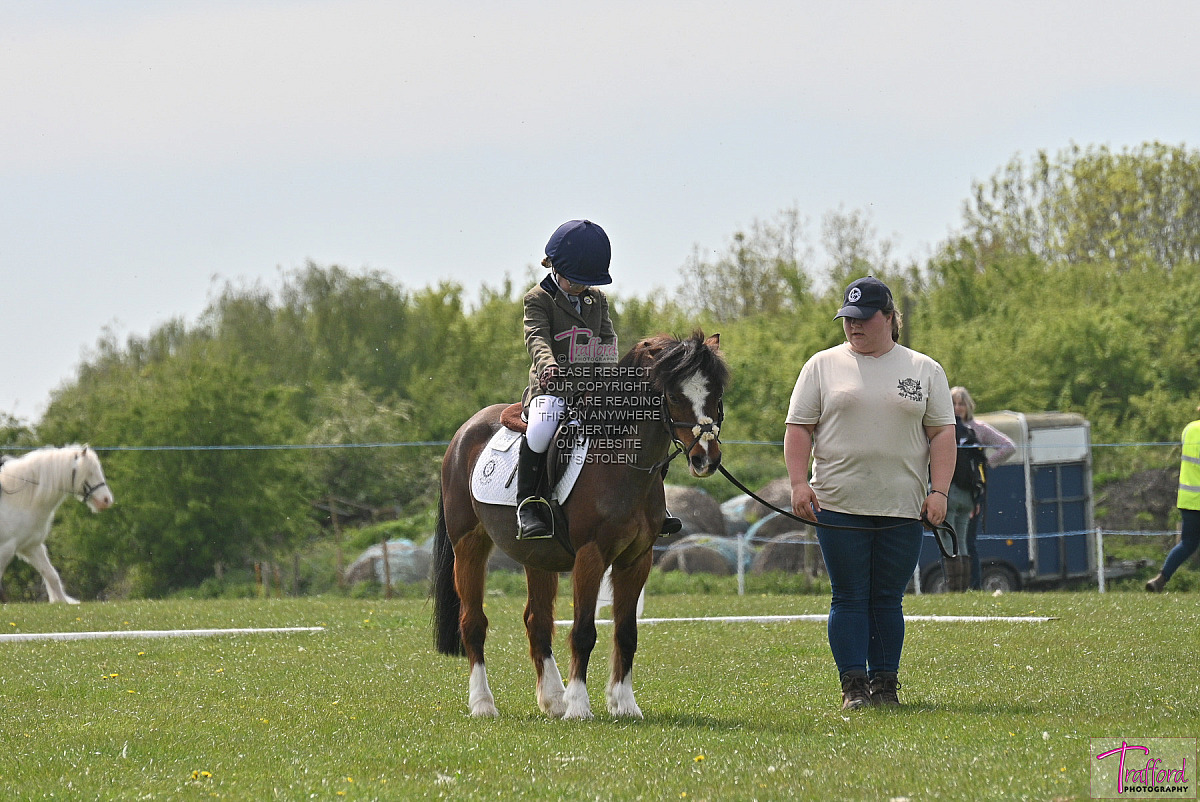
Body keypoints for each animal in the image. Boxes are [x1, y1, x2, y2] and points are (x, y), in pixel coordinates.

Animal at [0, 445, 114, 604]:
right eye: (90, 472)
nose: (106, 500)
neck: (16, 501)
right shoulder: (5, 548)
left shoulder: (31, 546)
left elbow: (51, 575)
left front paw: (61, 601)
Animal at [432, 331, 729, 719]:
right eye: (674, 395)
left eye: (716, 395)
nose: (705, 458)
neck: (620, 461)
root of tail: (462, 434)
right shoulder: (591, 556)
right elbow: (584, 631)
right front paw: (579, 706)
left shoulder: (637, 559)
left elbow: (626, 632)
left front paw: (624, 704)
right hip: (468, 546)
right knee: (473, 623)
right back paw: (484, 704)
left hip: (537, 556)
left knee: (537, 621)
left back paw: (552, 699)